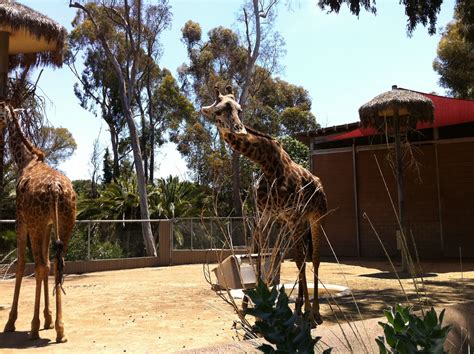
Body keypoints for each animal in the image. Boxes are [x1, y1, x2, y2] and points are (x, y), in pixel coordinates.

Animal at [1, 103, 76, 342]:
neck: (25, 160)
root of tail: (55, 189)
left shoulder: (21, 219)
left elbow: (21, 265)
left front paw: (11, 322)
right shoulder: (49, 224)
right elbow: (49, 265)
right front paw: (48, 319)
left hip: (35, 223)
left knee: (40, 265)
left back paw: (33, 328)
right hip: (66, 222)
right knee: (58, 263)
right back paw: (60, 329)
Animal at [202, 87, 328, 324]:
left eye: (239, 109)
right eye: (219, 110)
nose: (240, 129)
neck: (267, 164)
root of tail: (319, 183)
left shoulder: (293, 215)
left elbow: (299, 260)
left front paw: (307, 311)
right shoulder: (265, 216)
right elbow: (257, 255)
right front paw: (251, 310)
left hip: (317, 217)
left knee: (313, 258)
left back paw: (313, 311)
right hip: (299, 222)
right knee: (303, 257)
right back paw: (299, 307)